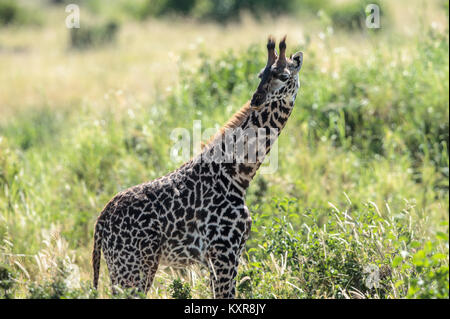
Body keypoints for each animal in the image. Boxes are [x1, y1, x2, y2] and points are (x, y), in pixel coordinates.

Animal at [91, 36, 302, 298]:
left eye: (283, 76)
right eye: (261, 74)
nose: (256, 99)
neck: (237, 174)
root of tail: (100, 222)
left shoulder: (219, 257)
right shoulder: (224, 252)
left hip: (125, 270)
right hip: (132, 269)